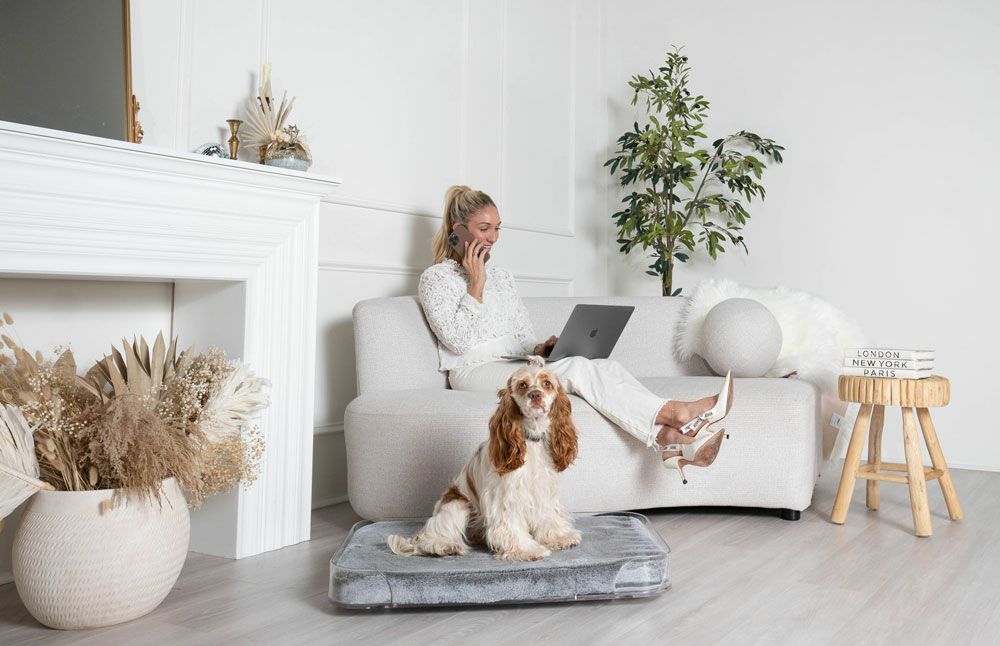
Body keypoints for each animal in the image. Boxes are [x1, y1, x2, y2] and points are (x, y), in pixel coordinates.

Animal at [387, 358, 580, 561]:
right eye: (522, 385)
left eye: (547, 384)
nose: (535, 394)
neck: (531, 438)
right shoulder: (506, 498)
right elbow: (512, 526)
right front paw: (527, 550)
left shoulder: (544, 490)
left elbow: (549, 516)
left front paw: (560, 537)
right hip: (458, 504)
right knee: (430, 536)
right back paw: (444, 546)